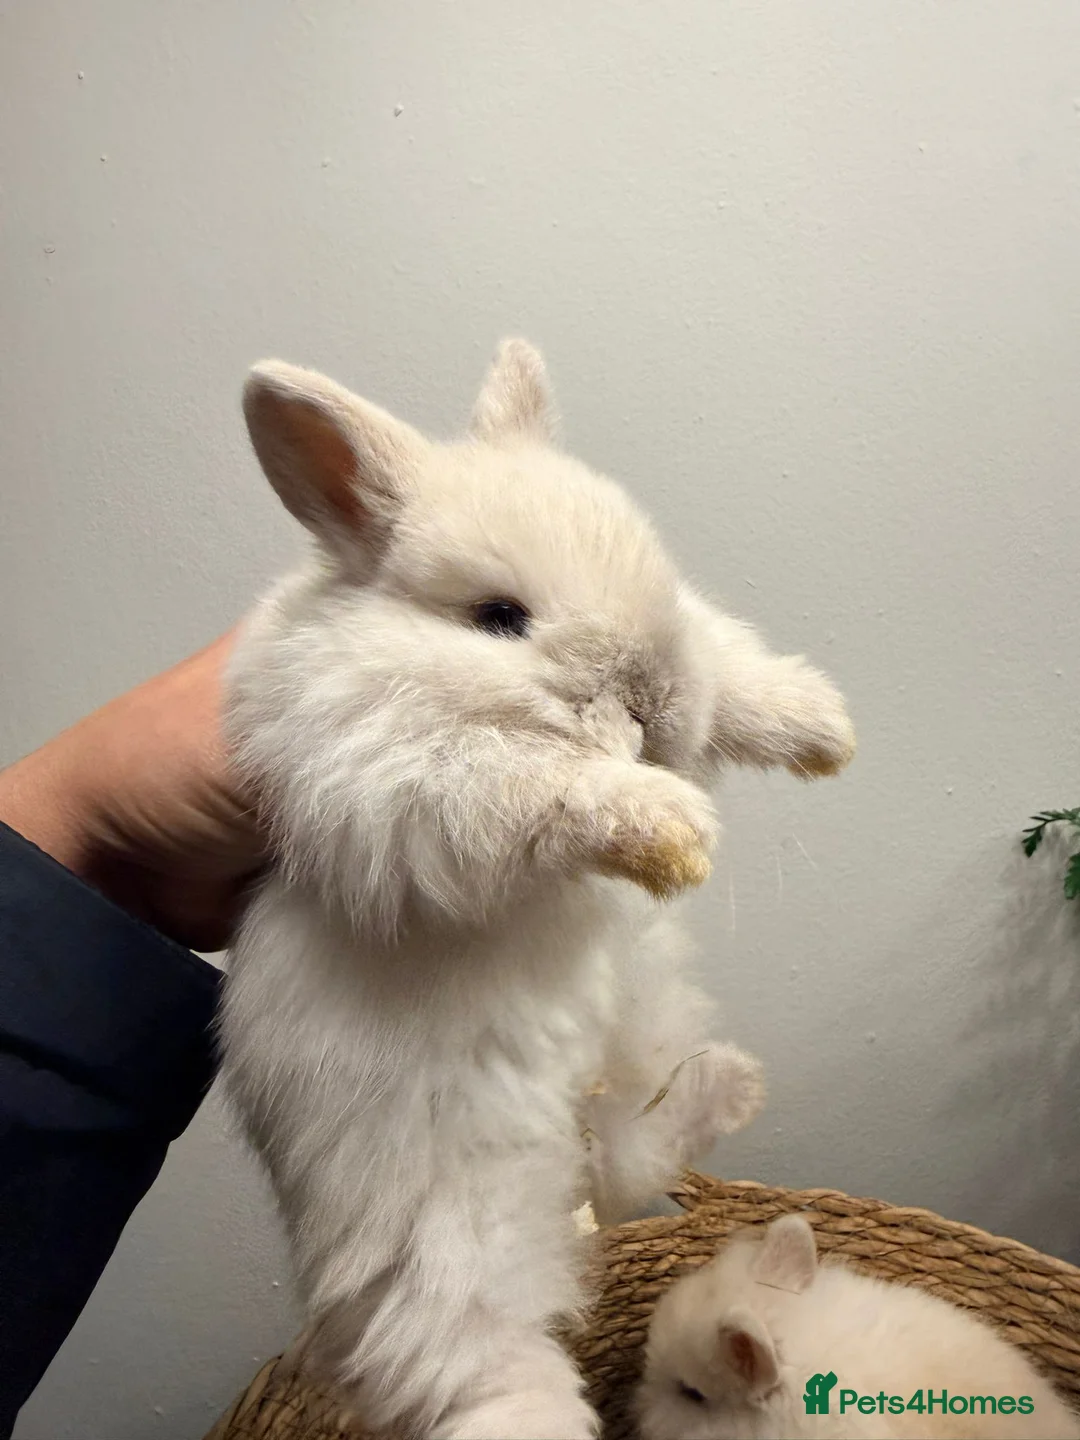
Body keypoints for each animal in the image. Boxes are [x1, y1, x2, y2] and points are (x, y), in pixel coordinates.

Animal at [220, 339, 855, 1440]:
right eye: (500, 617)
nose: (651, 698)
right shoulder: (404, 781)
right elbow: (546, 783)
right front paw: (674, 831)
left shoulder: (699, 648)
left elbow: (731, 672)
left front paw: (825, 729)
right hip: (448, 1276)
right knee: (493, 1365)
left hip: (638, 1052)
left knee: (641, 1157)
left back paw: (734, 1082)